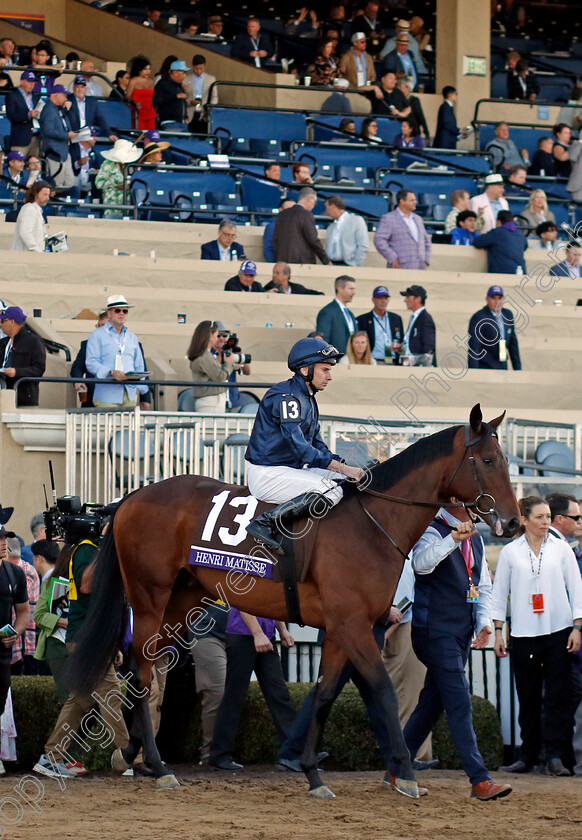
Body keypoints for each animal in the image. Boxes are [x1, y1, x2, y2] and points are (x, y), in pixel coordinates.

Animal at [68, 404, 520, 796]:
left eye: (505, 461)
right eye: (488, 461)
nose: (513, 521)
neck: (372, 524)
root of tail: (132, 497)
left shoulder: (341, 629)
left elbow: (324, 695)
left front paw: (313, 775)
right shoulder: (355, 625)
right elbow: (384, 691)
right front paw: (405, 773)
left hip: (181, 601)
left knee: (137, 666)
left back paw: (131, 752)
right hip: (149, 595)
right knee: (143, 669)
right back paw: (159, 766)